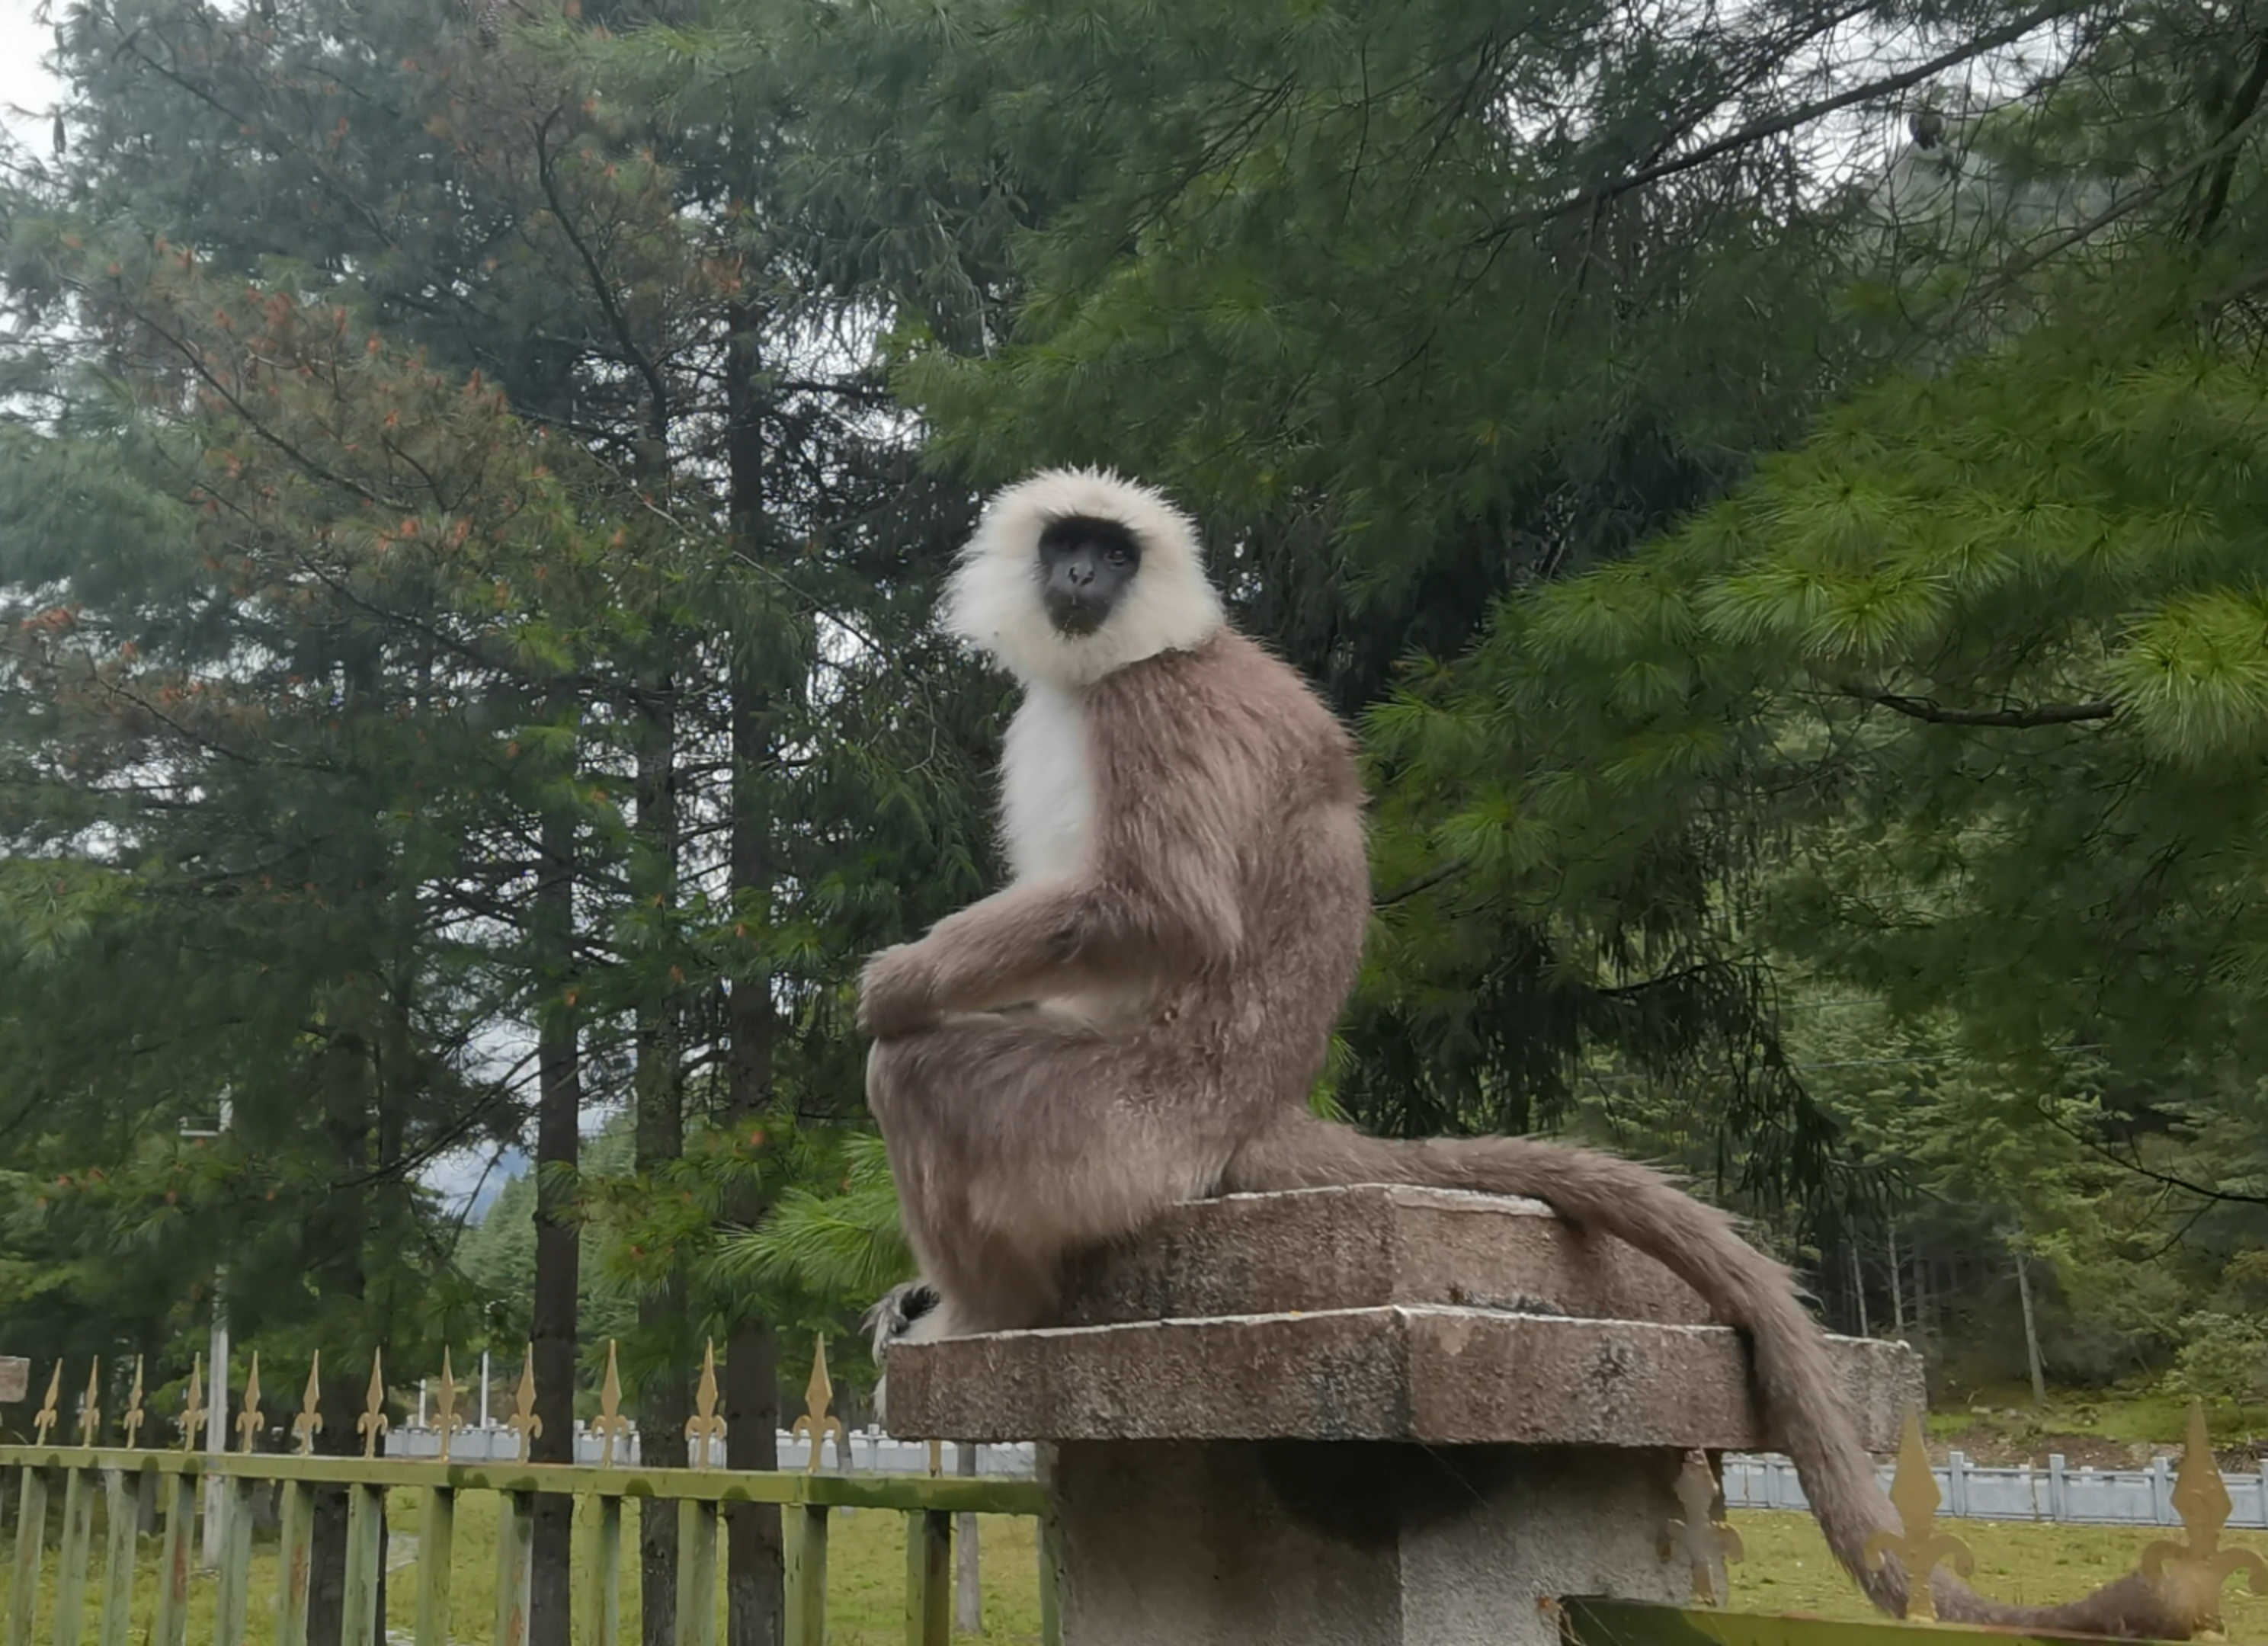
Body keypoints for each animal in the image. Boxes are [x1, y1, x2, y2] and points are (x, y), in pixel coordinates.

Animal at [861, 471, 2195, 1641]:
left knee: (919, 1076)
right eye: (1067, 546)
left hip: (1121, 1125)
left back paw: (983, 1313)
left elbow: (1162, 913)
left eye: (1111, 549)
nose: (1082, 575)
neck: (1135, 657)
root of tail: (1253, 1116)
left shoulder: (1154, 708)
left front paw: (893, 985)